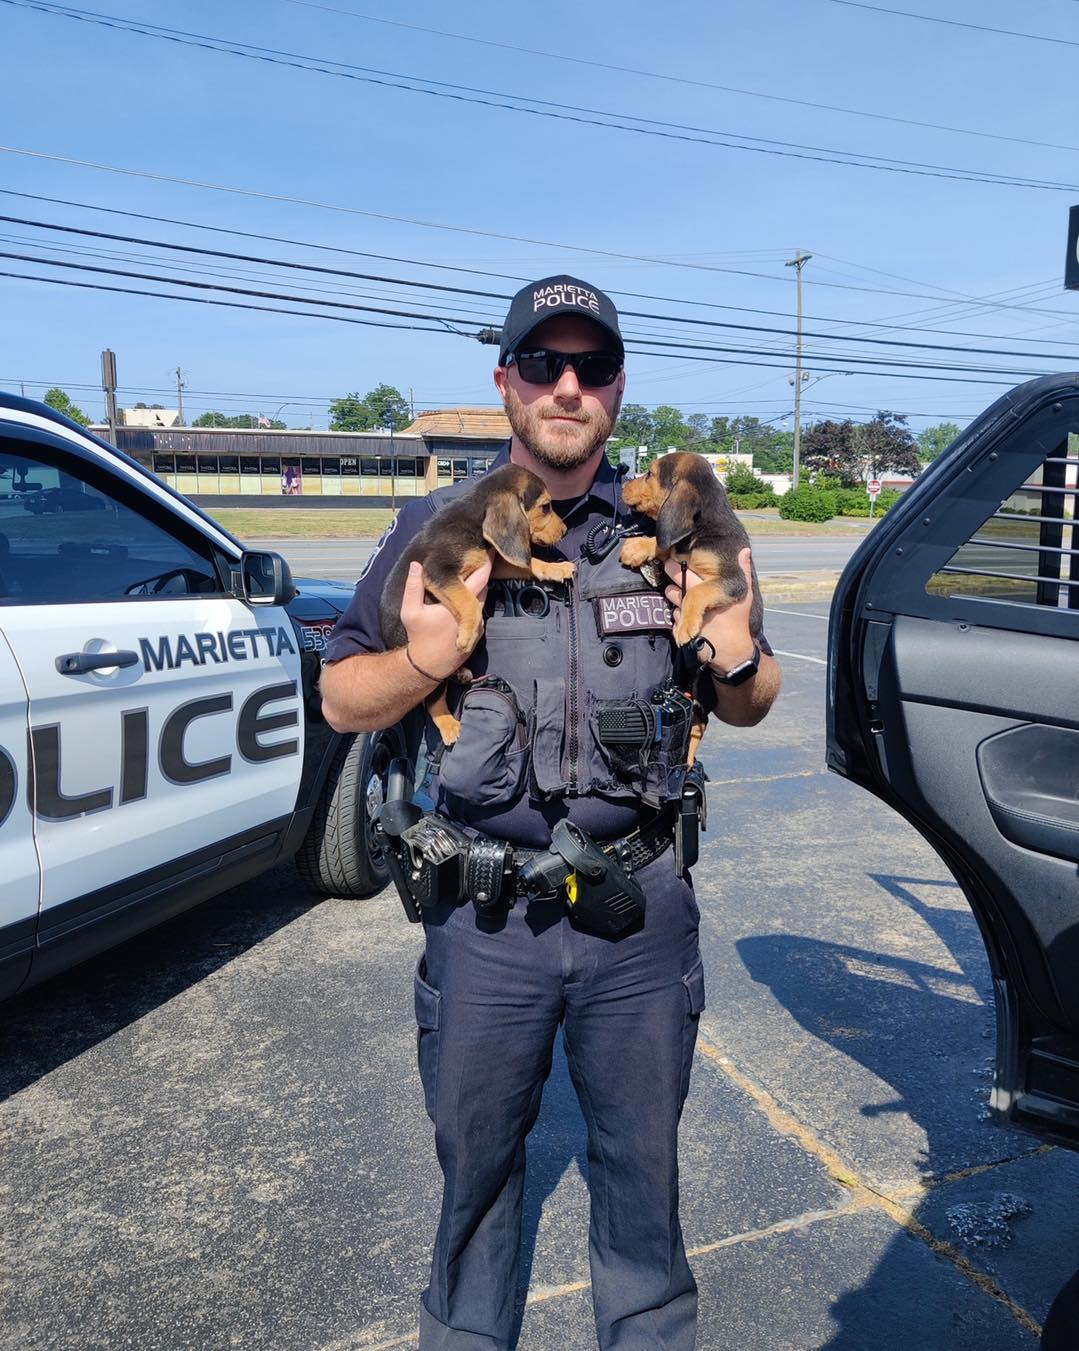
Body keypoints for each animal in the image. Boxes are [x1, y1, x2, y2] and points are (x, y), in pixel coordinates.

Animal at [380, 462, 572, 740]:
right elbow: (469, 600)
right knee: (433, 702)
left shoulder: (496, 560)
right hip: (429, 675)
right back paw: (449, 726)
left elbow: (529, 563)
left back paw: (460, 673)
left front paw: (556, 568)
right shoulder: (438, 572)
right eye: (546, 506)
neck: (473, 521)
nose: (565, 530)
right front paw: (468, 635)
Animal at [615, 448, 767, 648]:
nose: (623, 486)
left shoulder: (734, 579)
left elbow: (696, 591)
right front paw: (638, 547)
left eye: (649, 473)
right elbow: (664, 545)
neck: (699, 533)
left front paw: (684, 626)